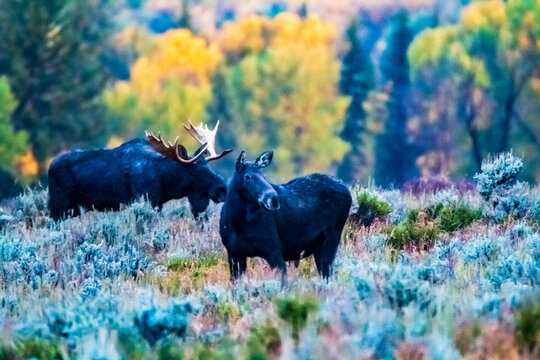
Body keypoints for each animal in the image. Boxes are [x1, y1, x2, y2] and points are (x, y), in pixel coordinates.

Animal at [48, 122, 230, 221]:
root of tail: (50, 168)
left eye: (209, 166)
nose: (222, 188)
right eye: (195, 171)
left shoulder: (158, 204)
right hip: (58, 207)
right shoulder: (145, 199)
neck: (165, 183)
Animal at [220, 150, 354, 282]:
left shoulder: (274, 252)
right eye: (247, 176)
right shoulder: (234, 254)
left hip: (332, 237)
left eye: (264, 176)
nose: (273, 199)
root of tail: (346, 189)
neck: (236, 223)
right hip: (319, 246)